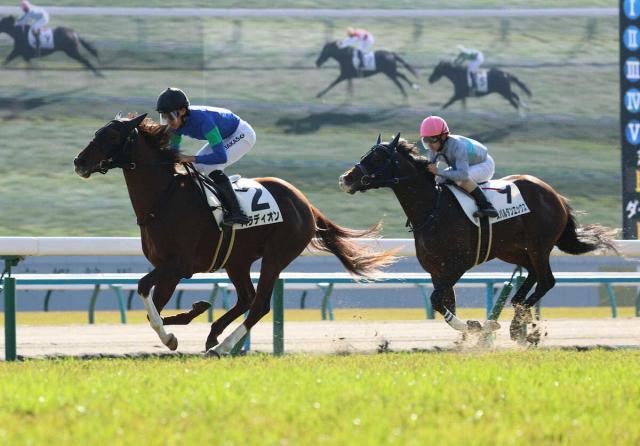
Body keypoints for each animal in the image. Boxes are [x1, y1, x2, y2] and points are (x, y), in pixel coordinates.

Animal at [73, 114, 396, 356]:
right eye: (98, 131)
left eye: (113, 135)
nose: (79, 162)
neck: (163, 199)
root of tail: (304, 202)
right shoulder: (168, 267)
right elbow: (155, 307)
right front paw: (187, 317)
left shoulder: (180, 264)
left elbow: (143, 288)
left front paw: (173, 335)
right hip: (236, 260)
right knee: (246, 298)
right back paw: (213, 335)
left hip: (276, 256)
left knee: (259, 304)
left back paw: (222, 346)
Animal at [338, 134, 616, 343]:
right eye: (365, 155)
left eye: (376, 157)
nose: (345, 179)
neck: (432, 208)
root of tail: (555, 195)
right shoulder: (437, 270)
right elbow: (445, 304)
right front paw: (473, 333)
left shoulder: (457, 264)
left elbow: (437, 300)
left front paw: (477, 328)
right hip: (513, 249)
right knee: (533, 275)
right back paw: (517, 312)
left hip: (539, 245)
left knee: (547, 280)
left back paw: (518, 326)